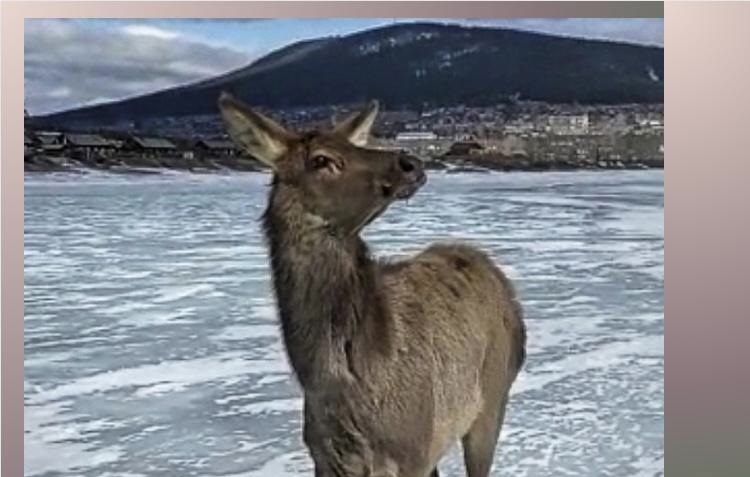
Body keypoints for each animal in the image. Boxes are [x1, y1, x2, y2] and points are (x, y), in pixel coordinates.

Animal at [217, 90, 528, 476]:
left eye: (355, 144)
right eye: (321, 159)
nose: (410, 163)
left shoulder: (414, 449)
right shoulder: (326, 458)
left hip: (491, 397)